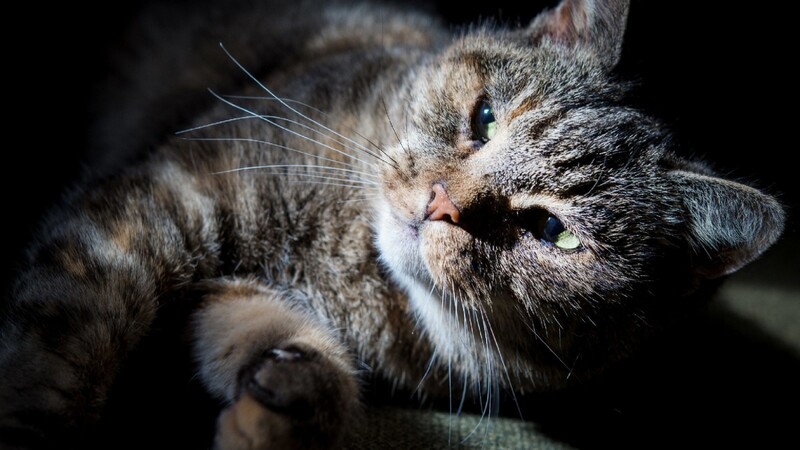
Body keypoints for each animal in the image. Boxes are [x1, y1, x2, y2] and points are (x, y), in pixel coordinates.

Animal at [0, 0, 784, 448]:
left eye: (552, 232)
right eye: (486, 116)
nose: (439, 203)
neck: (353, 271)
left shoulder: (243, 293)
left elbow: (293, 354)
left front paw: (274, 413)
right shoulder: (162, 201)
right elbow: (58, 347)